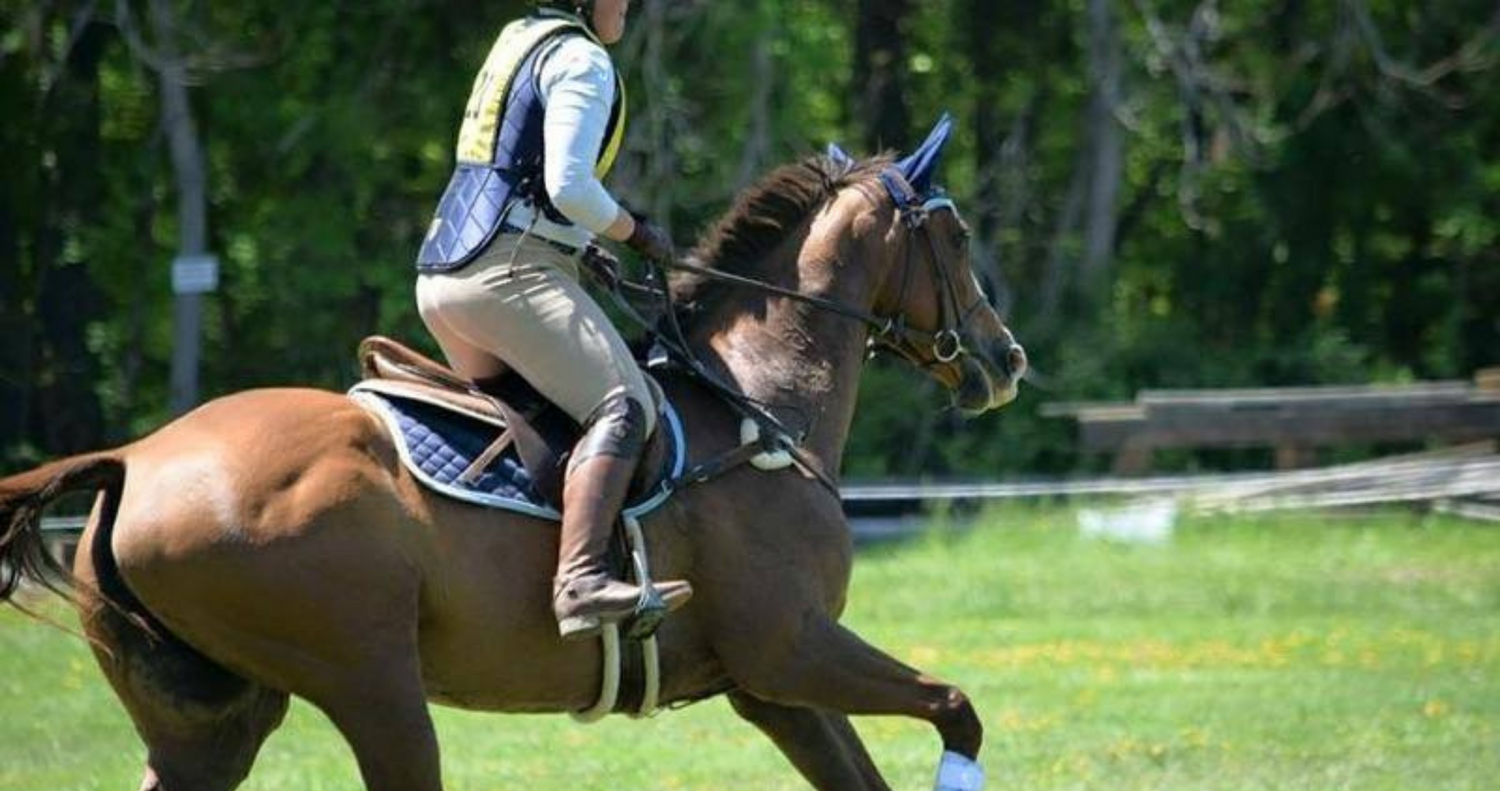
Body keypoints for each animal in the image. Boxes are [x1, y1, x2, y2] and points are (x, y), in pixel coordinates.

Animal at [0, 119, 1026, 791]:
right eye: (959, 235)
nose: (1005, 358)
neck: (755, 407)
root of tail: (133, 457)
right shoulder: (791, 647)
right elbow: (956, 705)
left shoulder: (772, 686)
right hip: (373, 688)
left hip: (209, 722)